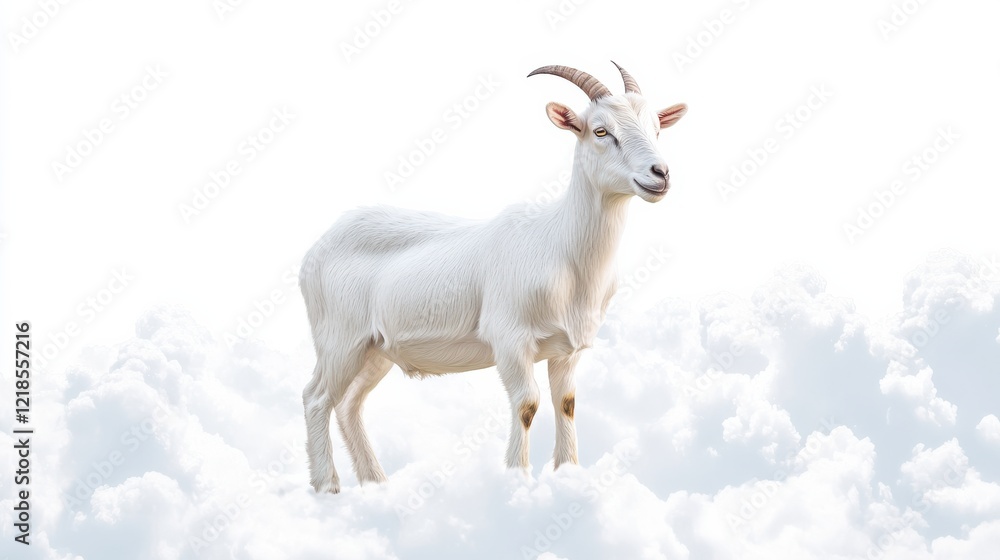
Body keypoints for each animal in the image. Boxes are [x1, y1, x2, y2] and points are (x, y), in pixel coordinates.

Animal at [300, 62, 687, 493]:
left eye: (657, 128)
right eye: (601, 131)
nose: (660, 173)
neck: (562, 249)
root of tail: (317, 248)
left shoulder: (568, 348)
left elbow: (566, 404)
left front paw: (568, 475)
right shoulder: (509, 338)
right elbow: (527, 404)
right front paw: (516, 479)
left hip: (374, 348)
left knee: (350, 404)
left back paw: (377, 483)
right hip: (339, 339)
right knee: (316, 398)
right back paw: (328, 487)